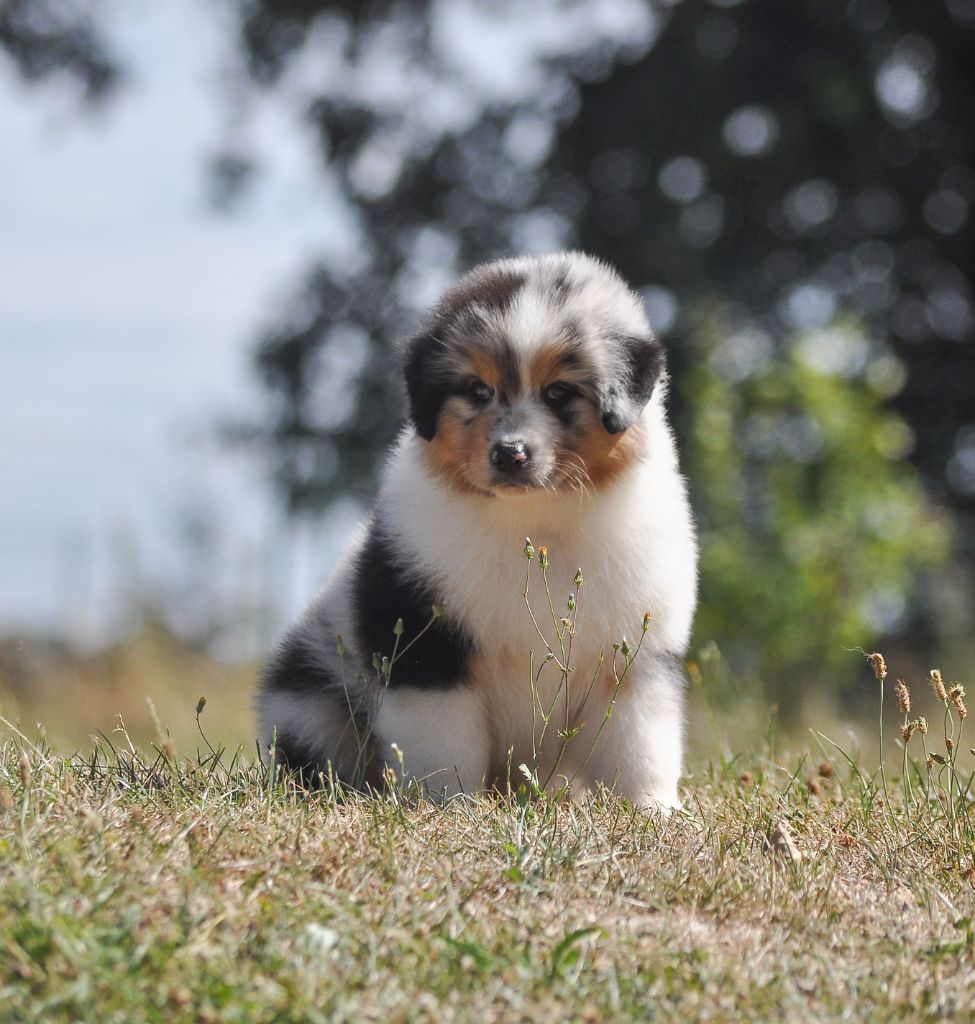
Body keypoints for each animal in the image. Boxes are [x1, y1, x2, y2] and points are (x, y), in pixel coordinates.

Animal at [259, 249, 696, 806]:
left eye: (559, 391)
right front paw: (445, 806)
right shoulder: (426, 643)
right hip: (310, 701)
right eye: (476, 390)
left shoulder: (637, 655)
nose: (510, 453)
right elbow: (443, 742)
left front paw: (652, 810)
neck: (535, 521)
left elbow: (640, 744)